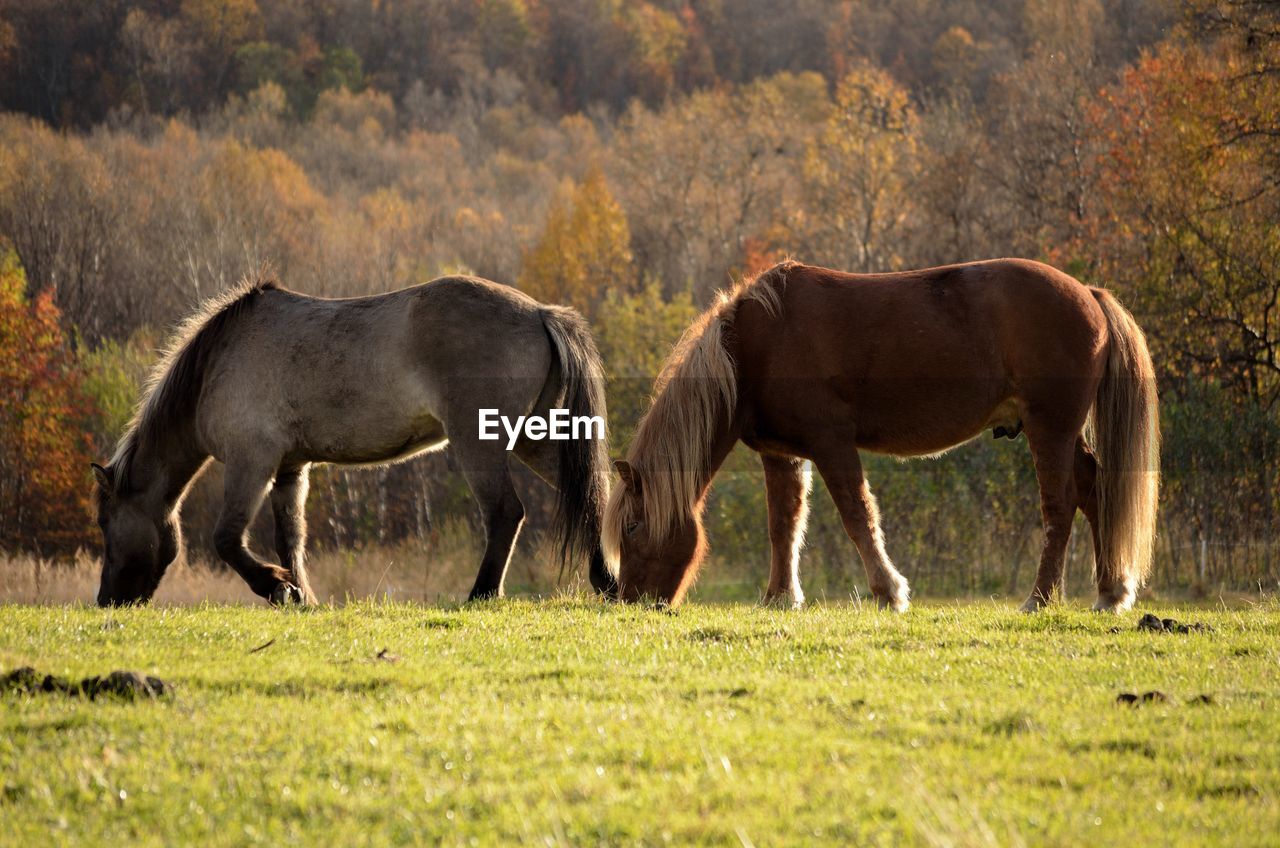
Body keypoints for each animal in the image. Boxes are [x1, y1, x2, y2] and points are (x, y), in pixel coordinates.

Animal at [91, 272, 614, 604]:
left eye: (105, 523)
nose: (107, 600)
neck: (218, 363)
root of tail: (540, 312)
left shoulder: (250, 462)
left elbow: (227, 538)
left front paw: (275, 587)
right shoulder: (290, 469)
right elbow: (290, 538)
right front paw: (301, 595)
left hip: (479, 443)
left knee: (506, 513)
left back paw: (482, 593)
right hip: (534, 438)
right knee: (592, 493)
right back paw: (606, 582)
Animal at [601, 257, 1162, 612]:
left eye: (632, 527)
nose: (631, 602)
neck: (758, 346)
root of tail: (1090, 295)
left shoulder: (832, 445)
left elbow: (857, 516)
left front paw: (889, 591)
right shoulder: (782, 455)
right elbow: (784, 526)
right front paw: (780, 598)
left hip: (1050, 429)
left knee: (1060, 506)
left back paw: (1039, 599)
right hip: (1064, 434)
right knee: (1095, 492)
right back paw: (1110, 592)